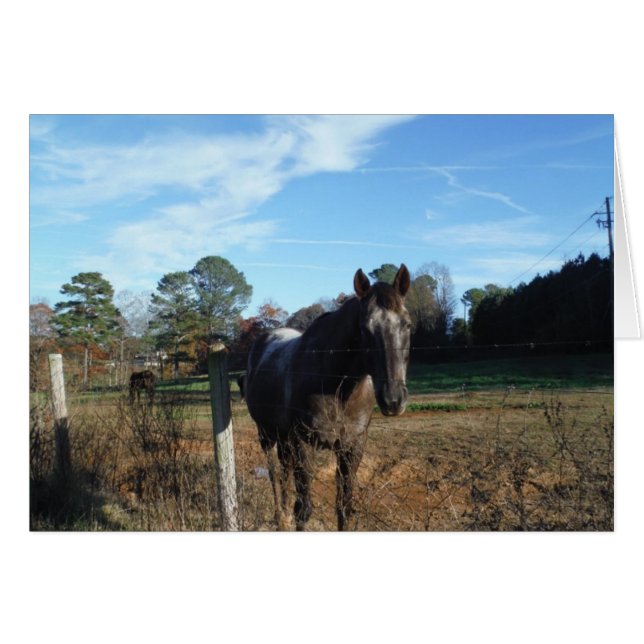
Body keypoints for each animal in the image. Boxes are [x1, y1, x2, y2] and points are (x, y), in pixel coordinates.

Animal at [245, 264, 411, 530]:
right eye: (365, 329)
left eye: (407, 325)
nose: (393, 399)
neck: (338, 388)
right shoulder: (302, 443)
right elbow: (304, 509)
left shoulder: (352, 447)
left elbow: (343, 508)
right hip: (266, 434)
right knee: (274, 472)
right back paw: (280, 516)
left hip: (283, 438)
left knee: (284, 470)